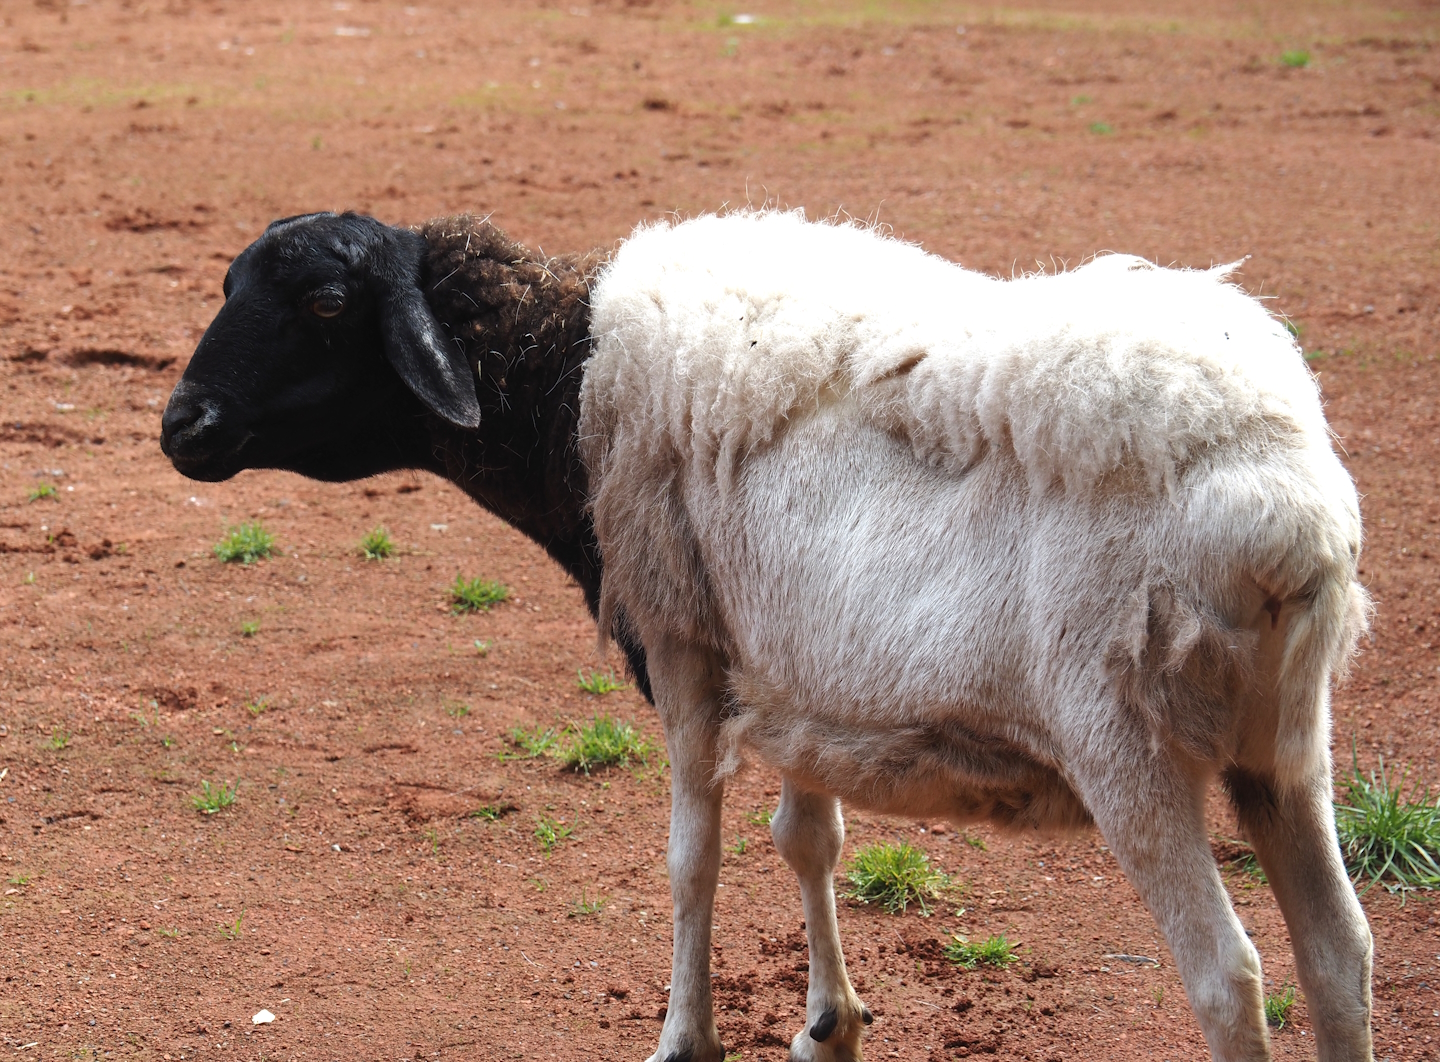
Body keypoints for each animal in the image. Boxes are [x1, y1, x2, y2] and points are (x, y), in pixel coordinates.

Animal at [161, 208, 1374, 1062]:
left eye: (325, 301)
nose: (182, 426)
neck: (565, 377)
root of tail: (1283, 504)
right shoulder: (796, 672)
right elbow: (807, 838)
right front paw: (830, 1021)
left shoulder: (683, 641)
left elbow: (689, 857)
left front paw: (684, 1036)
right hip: (1285, 745)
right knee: (1339, 955)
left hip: (1125, 740)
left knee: (1229, 980)